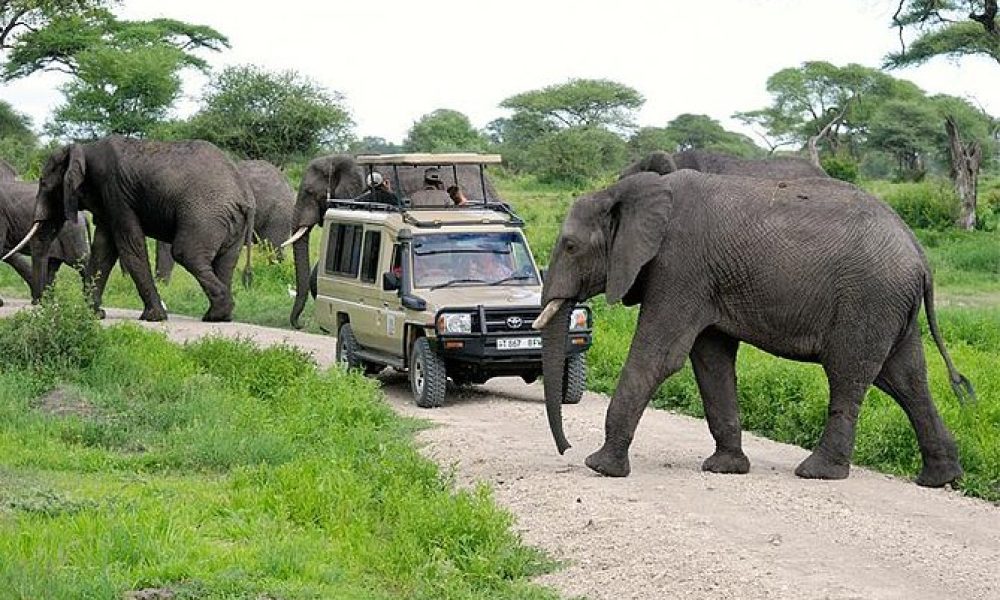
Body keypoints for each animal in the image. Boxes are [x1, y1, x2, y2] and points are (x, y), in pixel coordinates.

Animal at [4, 135, 254, 322]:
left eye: (44, 184)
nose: (40, 306)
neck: (84, 147)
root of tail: (244, 195)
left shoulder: (115, 190)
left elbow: (128, 244)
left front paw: (153, 318)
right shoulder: (107, 198)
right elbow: (104, 249)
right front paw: (92, 314)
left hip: (204, 215)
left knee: (186, 253)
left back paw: (216, 313)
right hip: (229, 222)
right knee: (225, 261)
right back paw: (219, 316)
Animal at [536, 169, 972, 488]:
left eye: (571, 246)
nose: (565, 449)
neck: (626, 190)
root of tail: (920, 256)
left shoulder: (680, 267)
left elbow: (659, 357)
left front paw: (600, 467)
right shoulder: (704, 280)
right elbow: (710, 361)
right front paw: (725, 468)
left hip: (868, 299)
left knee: (850, 374)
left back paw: (817, 473)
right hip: (890, 305)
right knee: (906, 379)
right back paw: (940, 478)